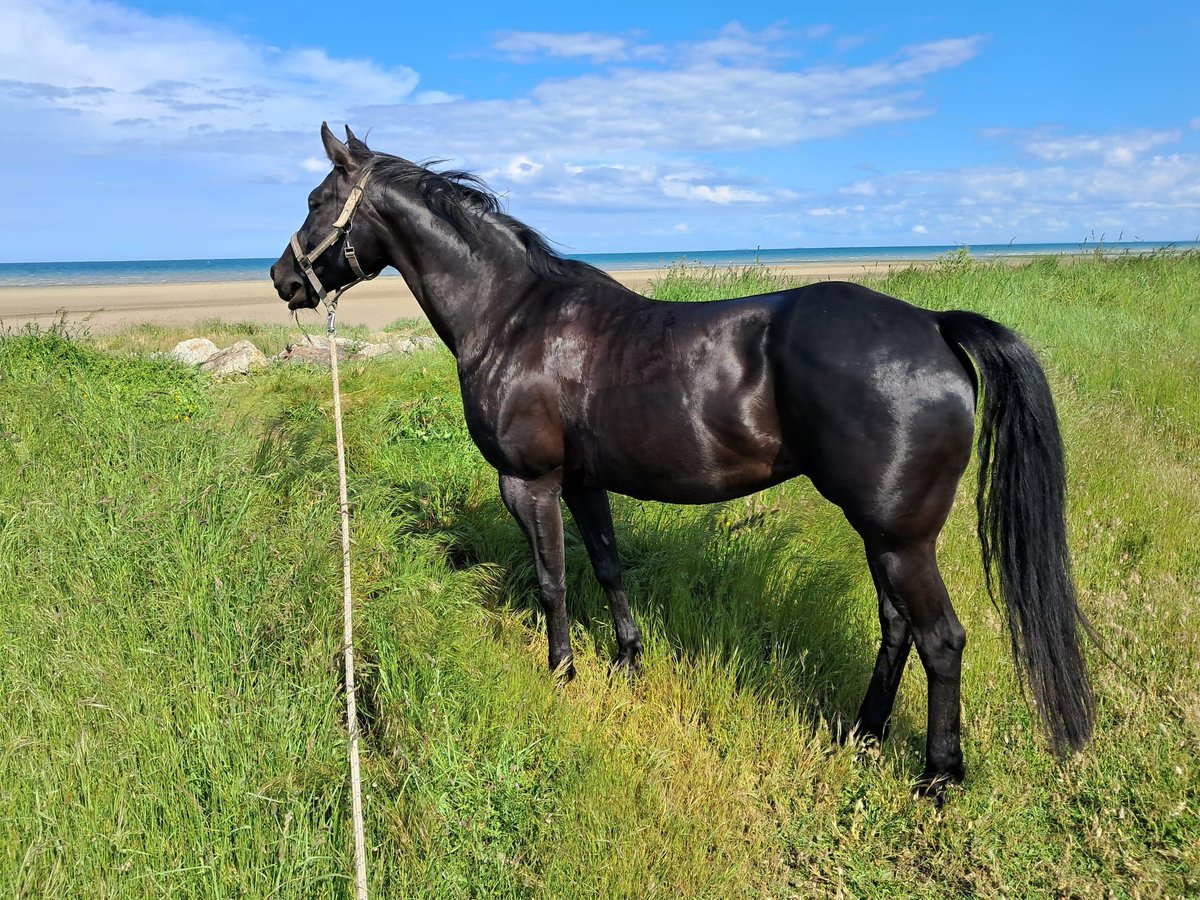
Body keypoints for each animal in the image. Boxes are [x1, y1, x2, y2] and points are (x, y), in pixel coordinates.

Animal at [274, 125, 1099, 796]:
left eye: (317, 199)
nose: (285, 280)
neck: (513, 316)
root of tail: (932, 325)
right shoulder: (583, 482)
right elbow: (608, 566)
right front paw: (627, 661)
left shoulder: (530, 482)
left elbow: (552, 580)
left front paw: (562, 670)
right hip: (885, 534)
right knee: (896, 627)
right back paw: (861, 733)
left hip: (901, 537)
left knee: (940, 640)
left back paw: (937, 776)